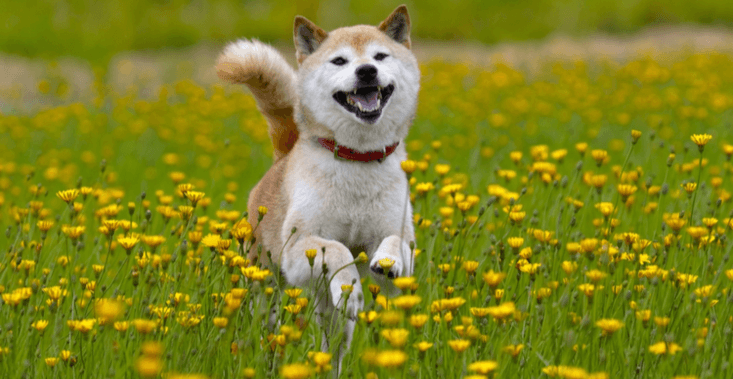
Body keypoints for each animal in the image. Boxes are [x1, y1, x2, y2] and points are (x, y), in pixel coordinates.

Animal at [216, 4, 418, 362]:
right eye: (339, 61)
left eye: (380, 56)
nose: (366, 71)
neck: (357, 160)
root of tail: (281, 157)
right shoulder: (299, 249)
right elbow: (338, 249)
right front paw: (351, 285)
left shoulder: (398, 262)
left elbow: (395, 243)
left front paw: (387, 261)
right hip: (264, 285)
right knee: (264, 323)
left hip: (333, 319)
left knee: (333, 344)